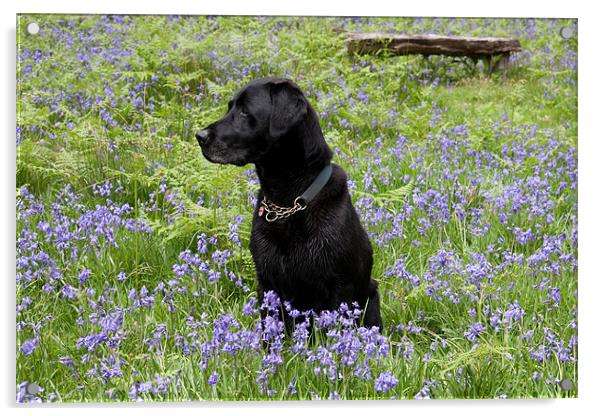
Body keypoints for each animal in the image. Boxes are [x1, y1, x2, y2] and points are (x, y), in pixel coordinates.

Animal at [196, 77, 380, 332]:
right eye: (229, 107)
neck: (288, 201)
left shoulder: (340, 286)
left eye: (244, 112)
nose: (200, 136)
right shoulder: (267, 281)